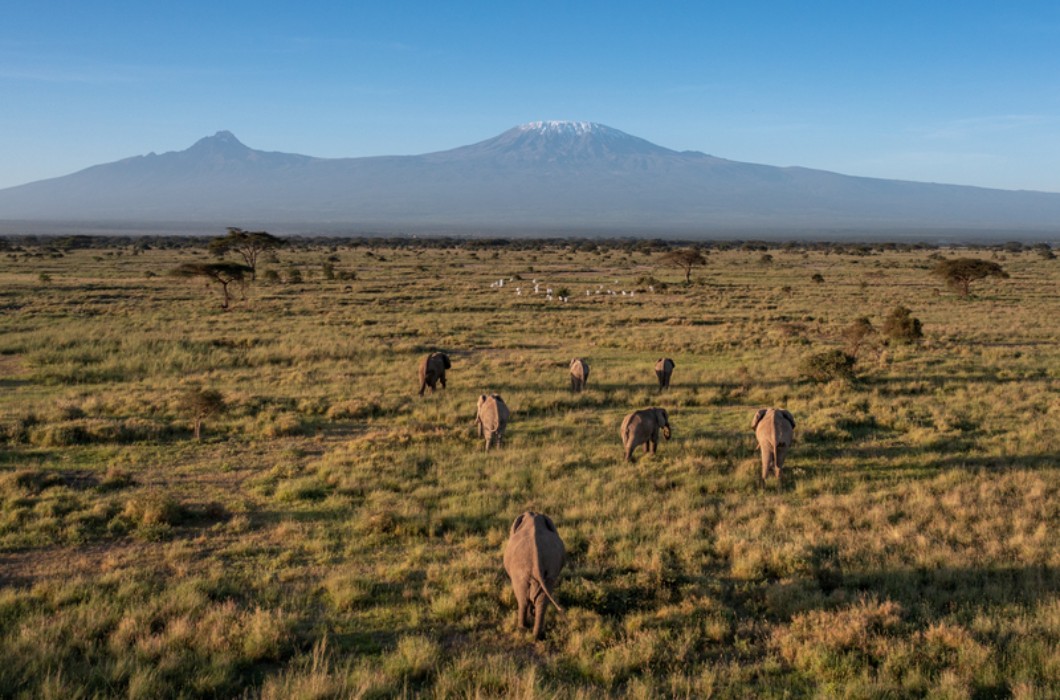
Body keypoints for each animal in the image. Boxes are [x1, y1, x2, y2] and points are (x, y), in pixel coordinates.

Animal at [502, 509, 568, 640]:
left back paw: (523, 628)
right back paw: (537, 635)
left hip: (520, 573)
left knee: (523, 600)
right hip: (549, 571)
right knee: (542, 600)